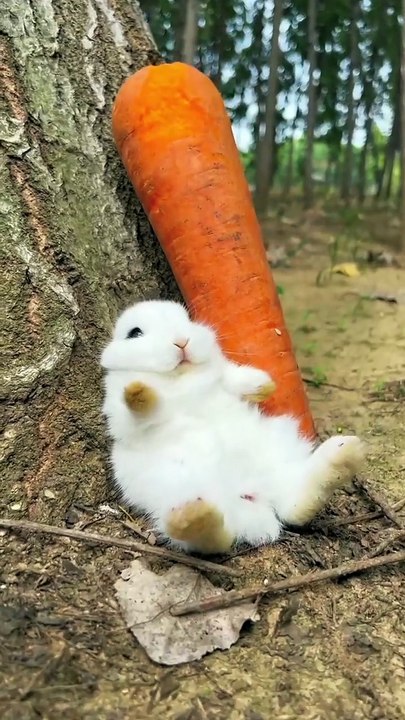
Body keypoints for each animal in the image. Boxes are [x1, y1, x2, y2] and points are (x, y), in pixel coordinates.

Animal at [101, 299, 365, 554]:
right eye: (134, 333)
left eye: (187, 319)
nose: (181, 341)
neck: (181, 377)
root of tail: (250, 497)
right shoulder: (122, 413)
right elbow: (139, 412)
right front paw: (139, 392)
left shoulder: (225, 377)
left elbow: (236, 378)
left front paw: (265, 386)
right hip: (172, 489)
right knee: (213, 539)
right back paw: (196, 519)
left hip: (276, 454)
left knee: (294, 504)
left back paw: (342, 456)